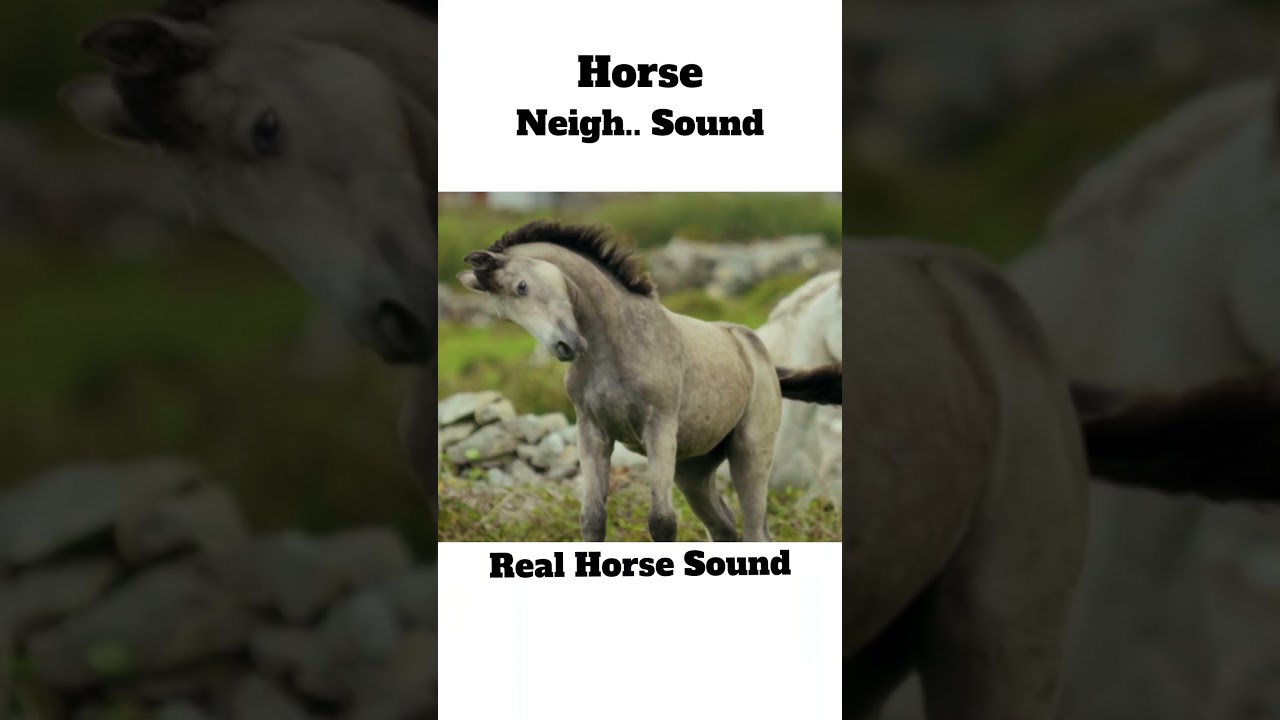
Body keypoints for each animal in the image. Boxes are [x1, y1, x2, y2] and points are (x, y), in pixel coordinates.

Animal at [456, 221, 841, 542]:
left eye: (522, 286)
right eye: (504, 315)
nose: (566, 347)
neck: (616, 345)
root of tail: (760, 354)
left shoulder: (659, 428)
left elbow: (662, 522)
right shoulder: (592, 433)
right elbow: (592, 520)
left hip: (750, 451)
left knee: (754, 531)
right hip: (693, 471)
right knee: (724, 528)